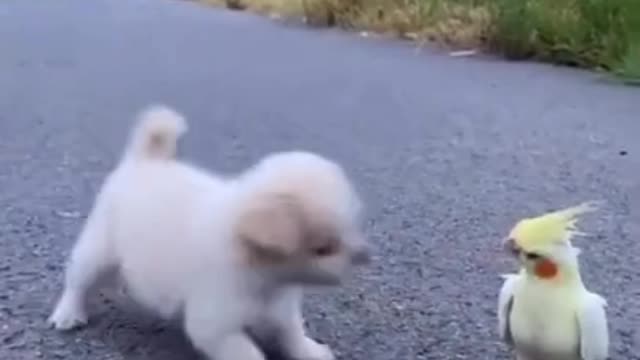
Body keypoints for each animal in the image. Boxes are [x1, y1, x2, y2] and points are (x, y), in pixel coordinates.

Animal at [47, 105, 370, 360]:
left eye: (352, 229)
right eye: (323, 248)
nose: (364, 256)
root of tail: (146, 160)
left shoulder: (279, 308)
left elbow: (292, 333)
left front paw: (310, 351)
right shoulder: (216, 325)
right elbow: (247, 353)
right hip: (99, 247)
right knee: (78, 280)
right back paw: (68, 313)